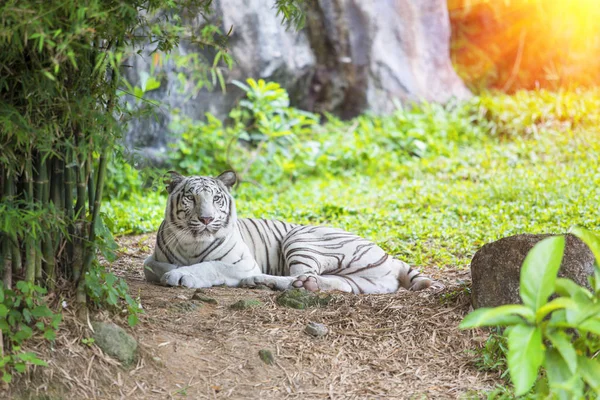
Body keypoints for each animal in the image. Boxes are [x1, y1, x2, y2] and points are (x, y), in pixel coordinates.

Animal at [143, 170, 442, 294]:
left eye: (216, 199)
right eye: (190, 197)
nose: (206, 219)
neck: (191, 242)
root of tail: (391, 257)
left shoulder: (242, 263)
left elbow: (210, 266)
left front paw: (182, 275)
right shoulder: (152, 258)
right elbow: (151, 266)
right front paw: (174, 270)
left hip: (301, 239)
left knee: (300, 275)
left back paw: (260, 281)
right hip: (364, 281)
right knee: (332, 283)